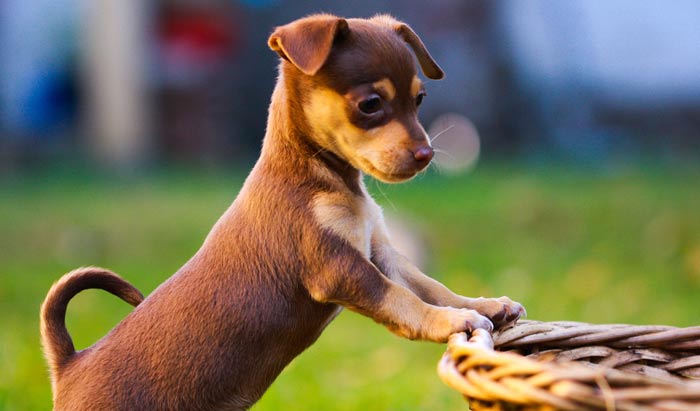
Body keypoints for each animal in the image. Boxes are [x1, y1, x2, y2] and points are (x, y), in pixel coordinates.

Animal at [41, 13, 524, 411]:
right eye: (370, 105)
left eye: (420, 99)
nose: (427, 155)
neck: (323, 180)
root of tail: (70, 367)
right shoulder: (340, 267)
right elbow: (402, 298)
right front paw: (451, 320)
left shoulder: (379, 253)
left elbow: (429, 285)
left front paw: (482, 304)